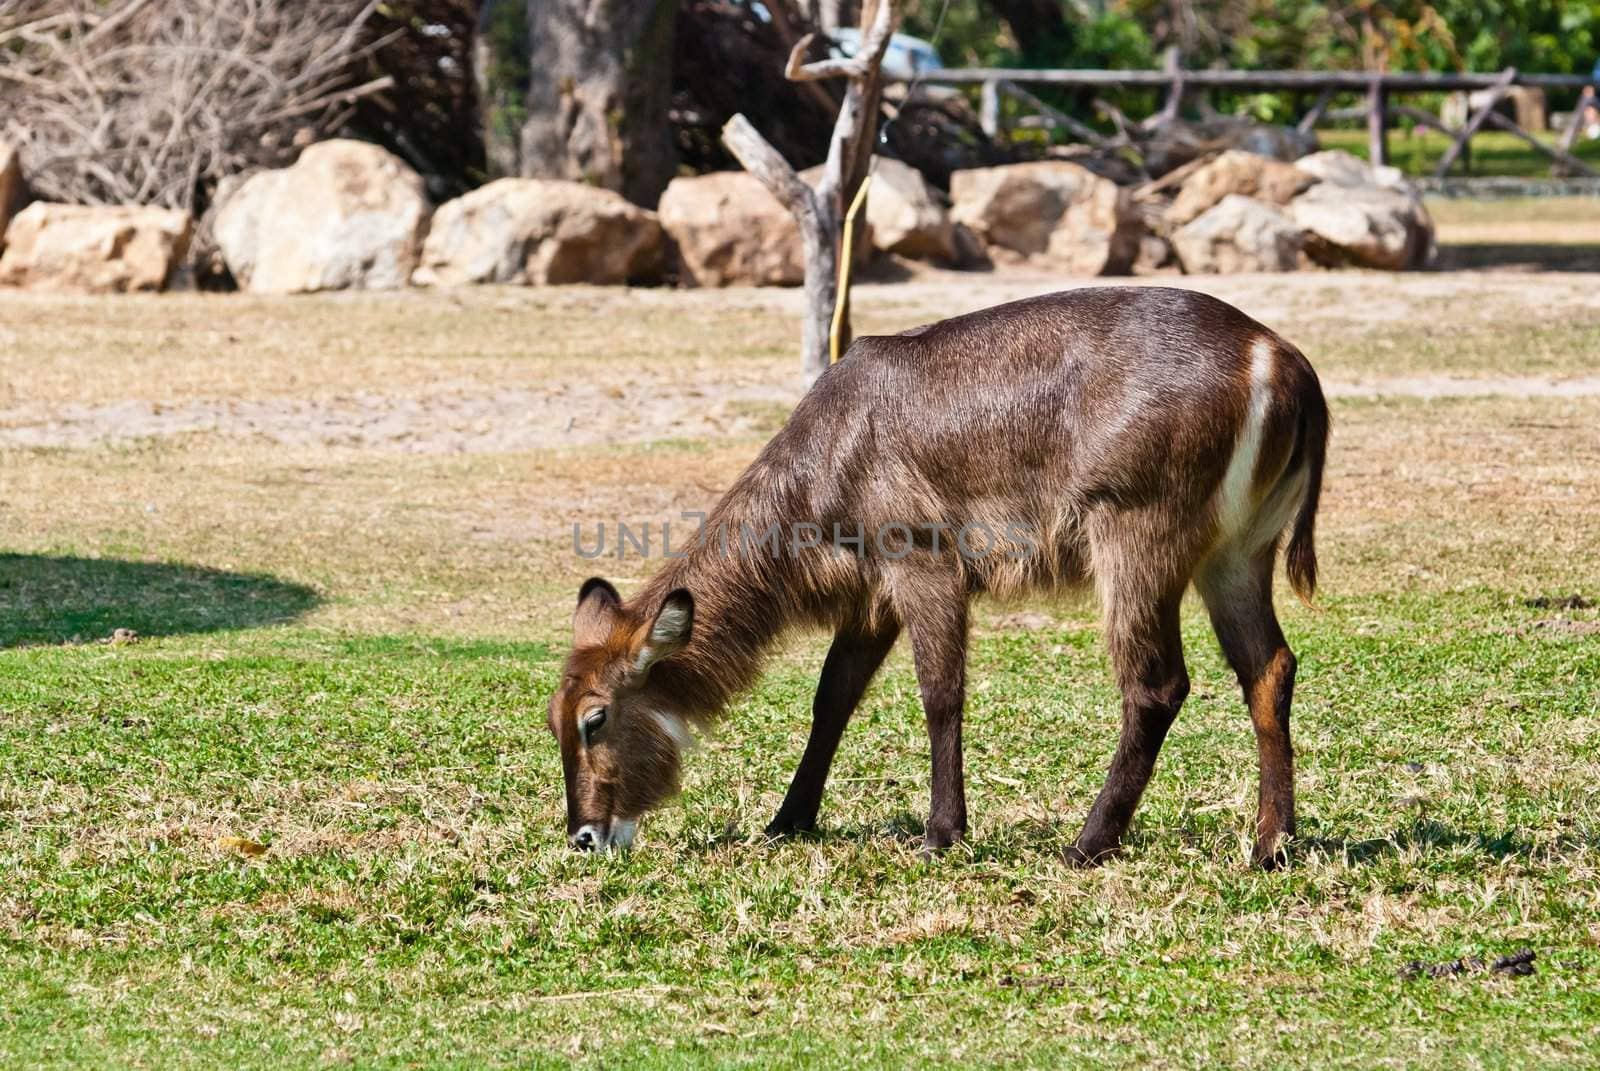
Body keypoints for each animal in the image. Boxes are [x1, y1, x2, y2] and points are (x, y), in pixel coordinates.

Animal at [550, 286, 1324, 870]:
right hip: (1237, 553)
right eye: (554, 717)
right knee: (1270, 668)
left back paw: (1087, 843)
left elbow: (940, 694)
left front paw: (940, 833)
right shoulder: (872, 595)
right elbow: (832, 698)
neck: (830, 445)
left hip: (1136, 539)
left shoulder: (923, 561)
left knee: (1158, 684)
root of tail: (1279, 358)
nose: (583, 836)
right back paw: (1270, 845)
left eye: (596, 717)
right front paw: (787, 820)